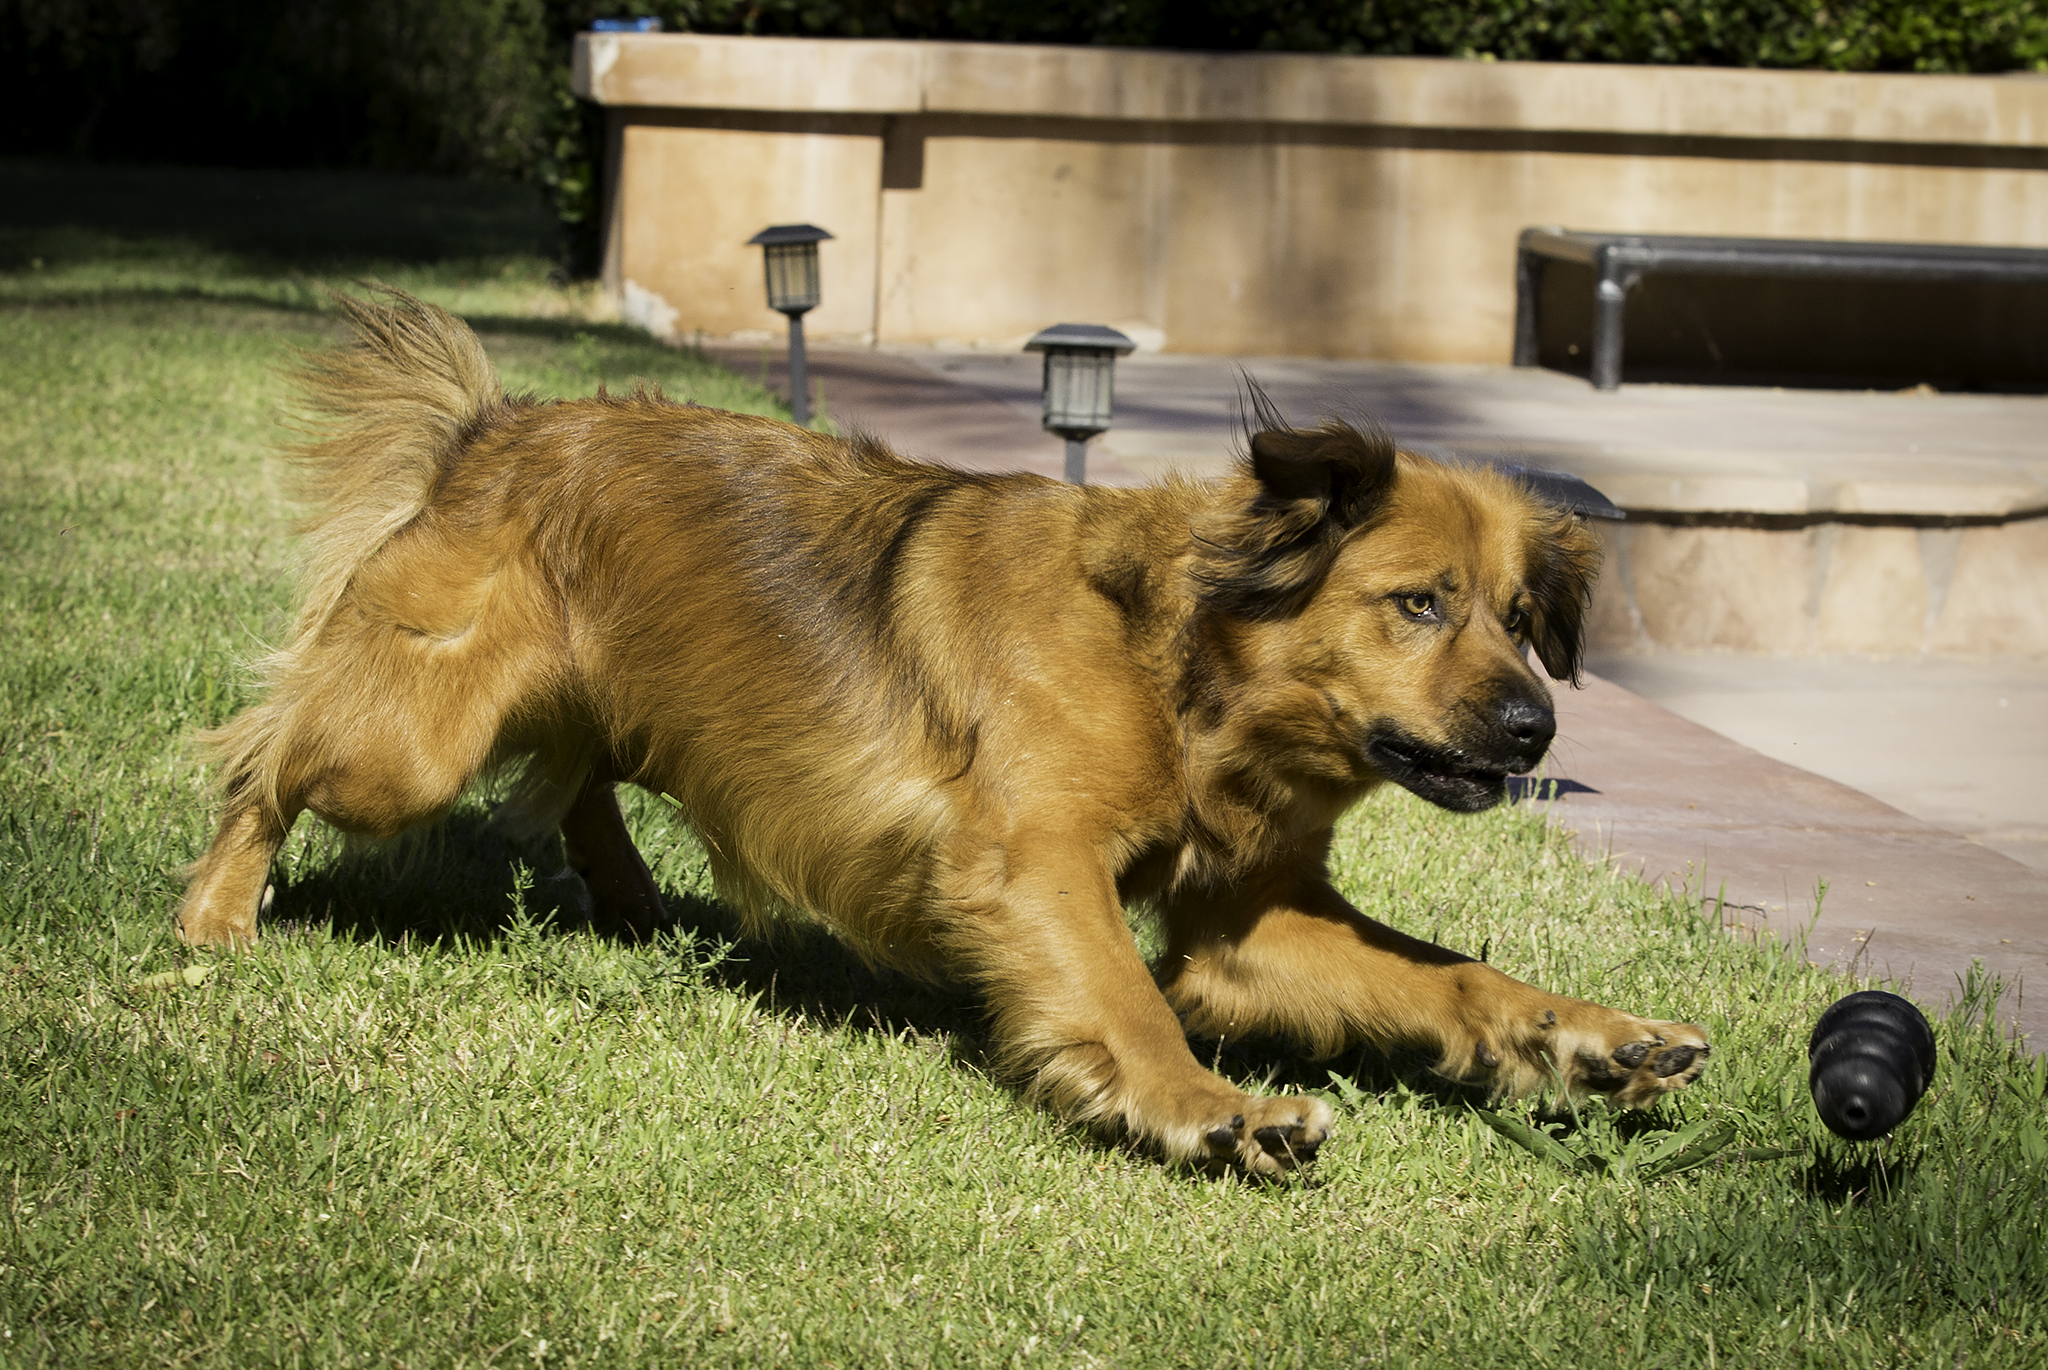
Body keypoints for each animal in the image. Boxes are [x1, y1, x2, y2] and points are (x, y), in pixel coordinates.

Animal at [178, 291, 1710, 1175]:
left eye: (1519, 614)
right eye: (1418, 601)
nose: (1533, 726)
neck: (1177, 665)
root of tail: (494, 427)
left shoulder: (1248, 922)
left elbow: (1452, 973)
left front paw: (1597, 1039)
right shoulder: (1033, 864)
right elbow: (1126, 997)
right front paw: (1205, 1104)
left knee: (579, 774)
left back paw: (632, 901)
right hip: (404, 744)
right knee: (268, 755)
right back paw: (215, 918)